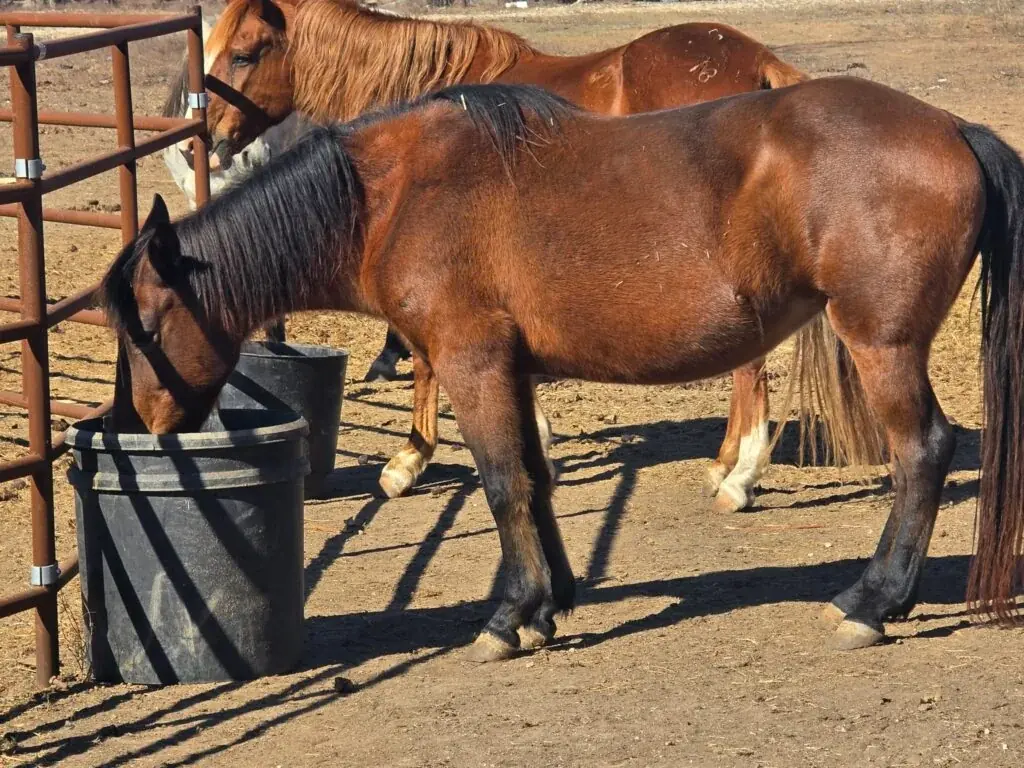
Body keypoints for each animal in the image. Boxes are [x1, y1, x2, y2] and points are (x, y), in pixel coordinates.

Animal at [101, 80, 1024, 661]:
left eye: (145, 323)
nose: (138, 426)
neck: (392, 195)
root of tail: (952, 128)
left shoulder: (471, 364)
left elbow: (503, 483)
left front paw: (509, 617)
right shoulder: (511, 370)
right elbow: (536, 482)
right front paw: (550, 604)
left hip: (883, 347)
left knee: (922, 454)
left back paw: (873, 602)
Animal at [196, 0, 881, 510]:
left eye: (244, 53)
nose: (214, 140)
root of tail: (757, 61)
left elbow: (422, 358)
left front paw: (409, 459)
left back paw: (740, 477)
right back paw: (723, 465)